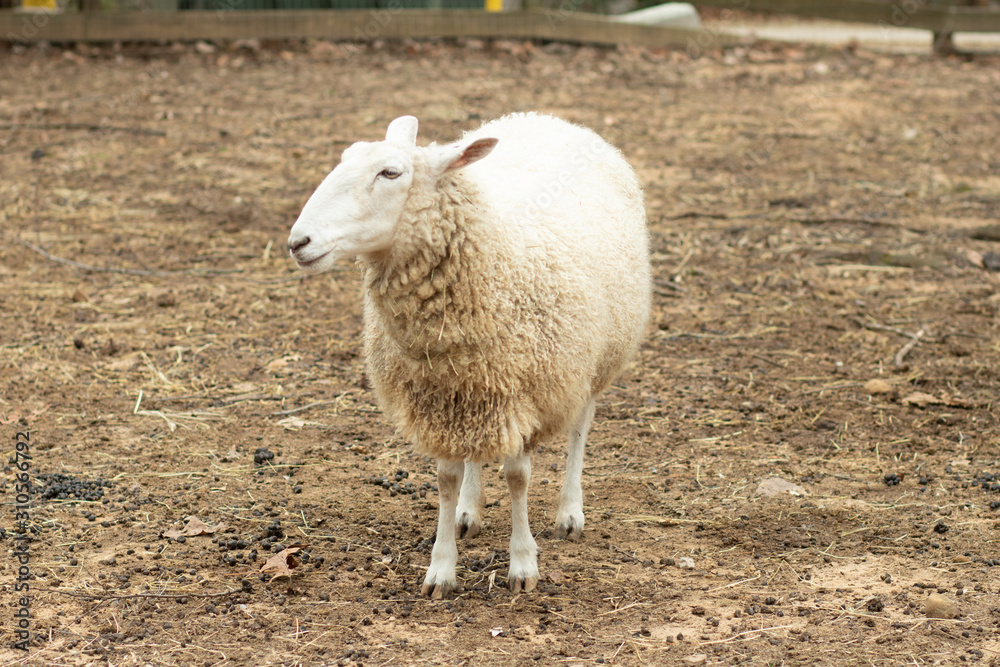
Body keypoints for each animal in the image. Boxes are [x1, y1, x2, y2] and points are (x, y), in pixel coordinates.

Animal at [287, 112, 650, 598]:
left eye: (390, 173)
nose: (298, 241)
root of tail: (543, 116)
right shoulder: (443, 397)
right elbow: (446, 478)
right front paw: (441, 567)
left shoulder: (525, 393)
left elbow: (518, 477)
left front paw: (523, 563)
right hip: (478, 390)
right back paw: (468, 510)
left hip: (594, 359)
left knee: (580, 425)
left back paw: (570, 511)